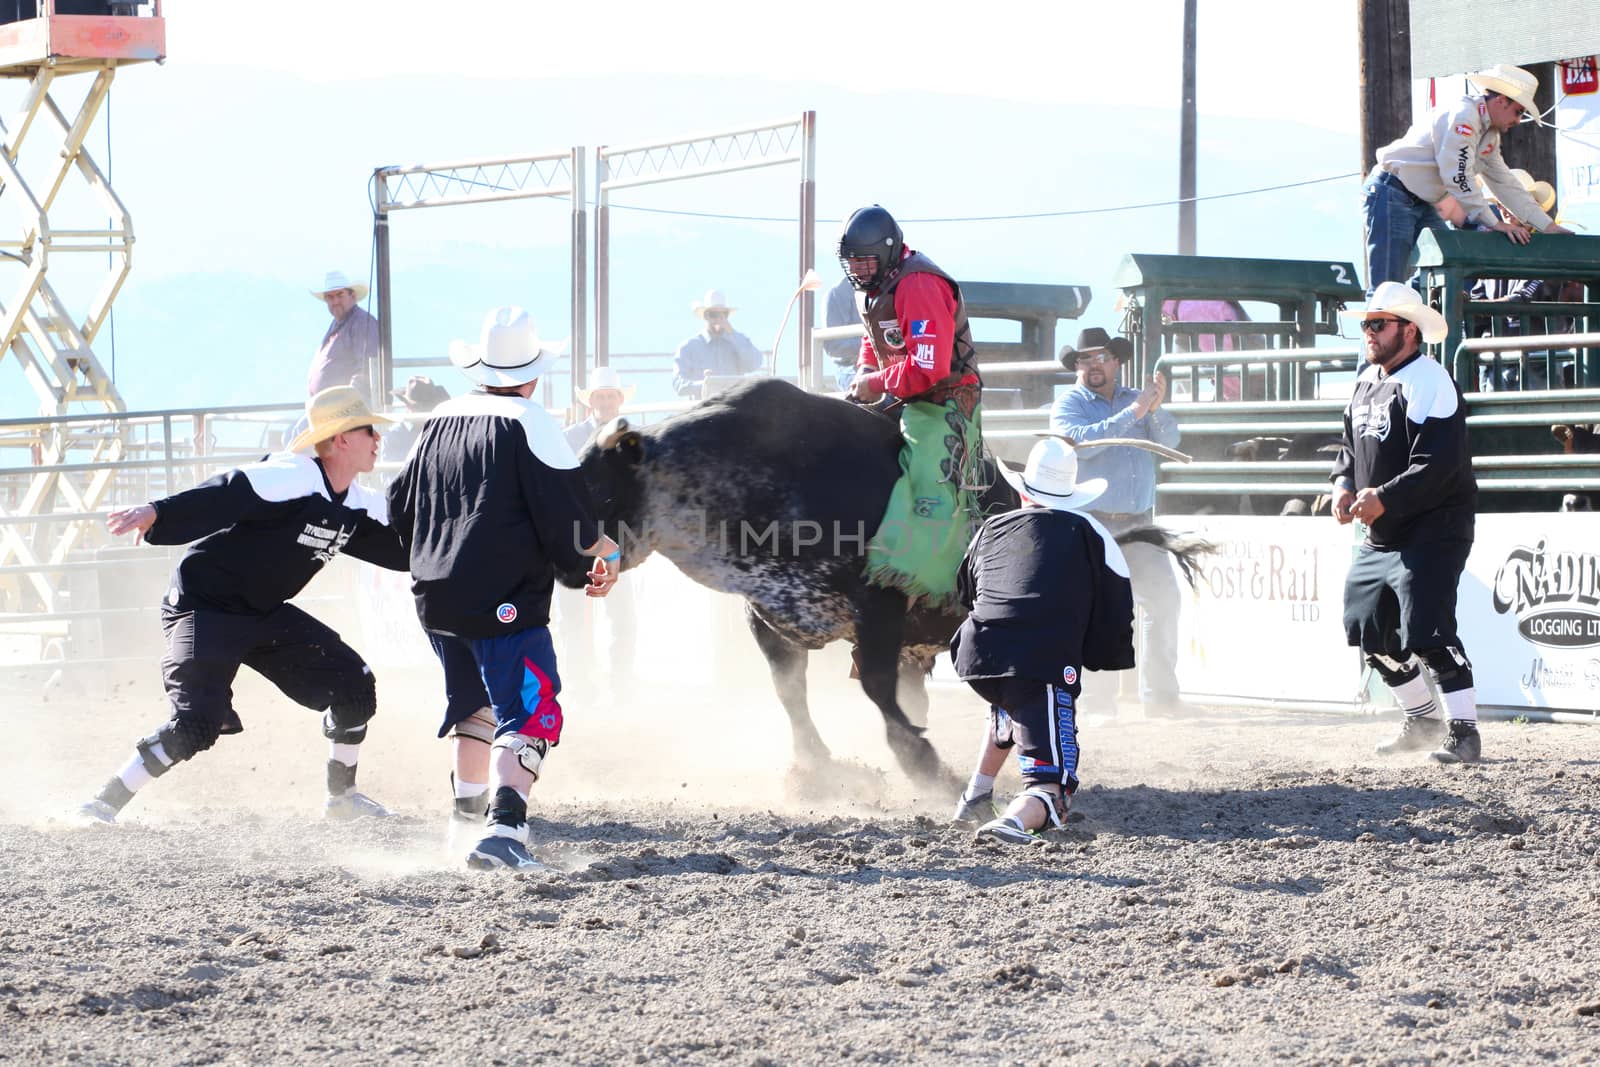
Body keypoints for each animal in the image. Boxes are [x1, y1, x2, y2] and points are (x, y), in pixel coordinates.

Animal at [563, 379, 1203, 796]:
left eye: (599, 489)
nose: (569, 568)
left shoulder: (880, 606)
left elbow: (874, 690)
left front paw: (926, 767)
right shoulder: (770, 616)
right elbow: (791, 693)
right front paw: (817, 768)